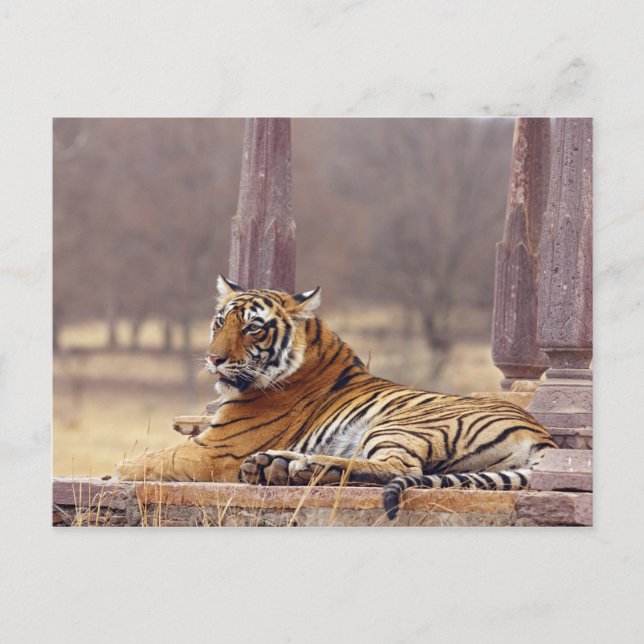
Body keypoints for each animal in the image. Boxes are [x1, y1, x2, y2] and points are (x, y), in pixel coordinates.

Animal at [117, 276, 557, 520]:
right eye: (220, 322)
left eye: (253, 328)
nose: (213, 358)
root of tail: (542, 436)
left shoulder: (218, 449)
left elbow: (152, 458)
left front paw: (119, 471)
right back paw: (277, 466)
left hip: (401, 424)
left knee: (394, 468)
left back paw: (303, 467)